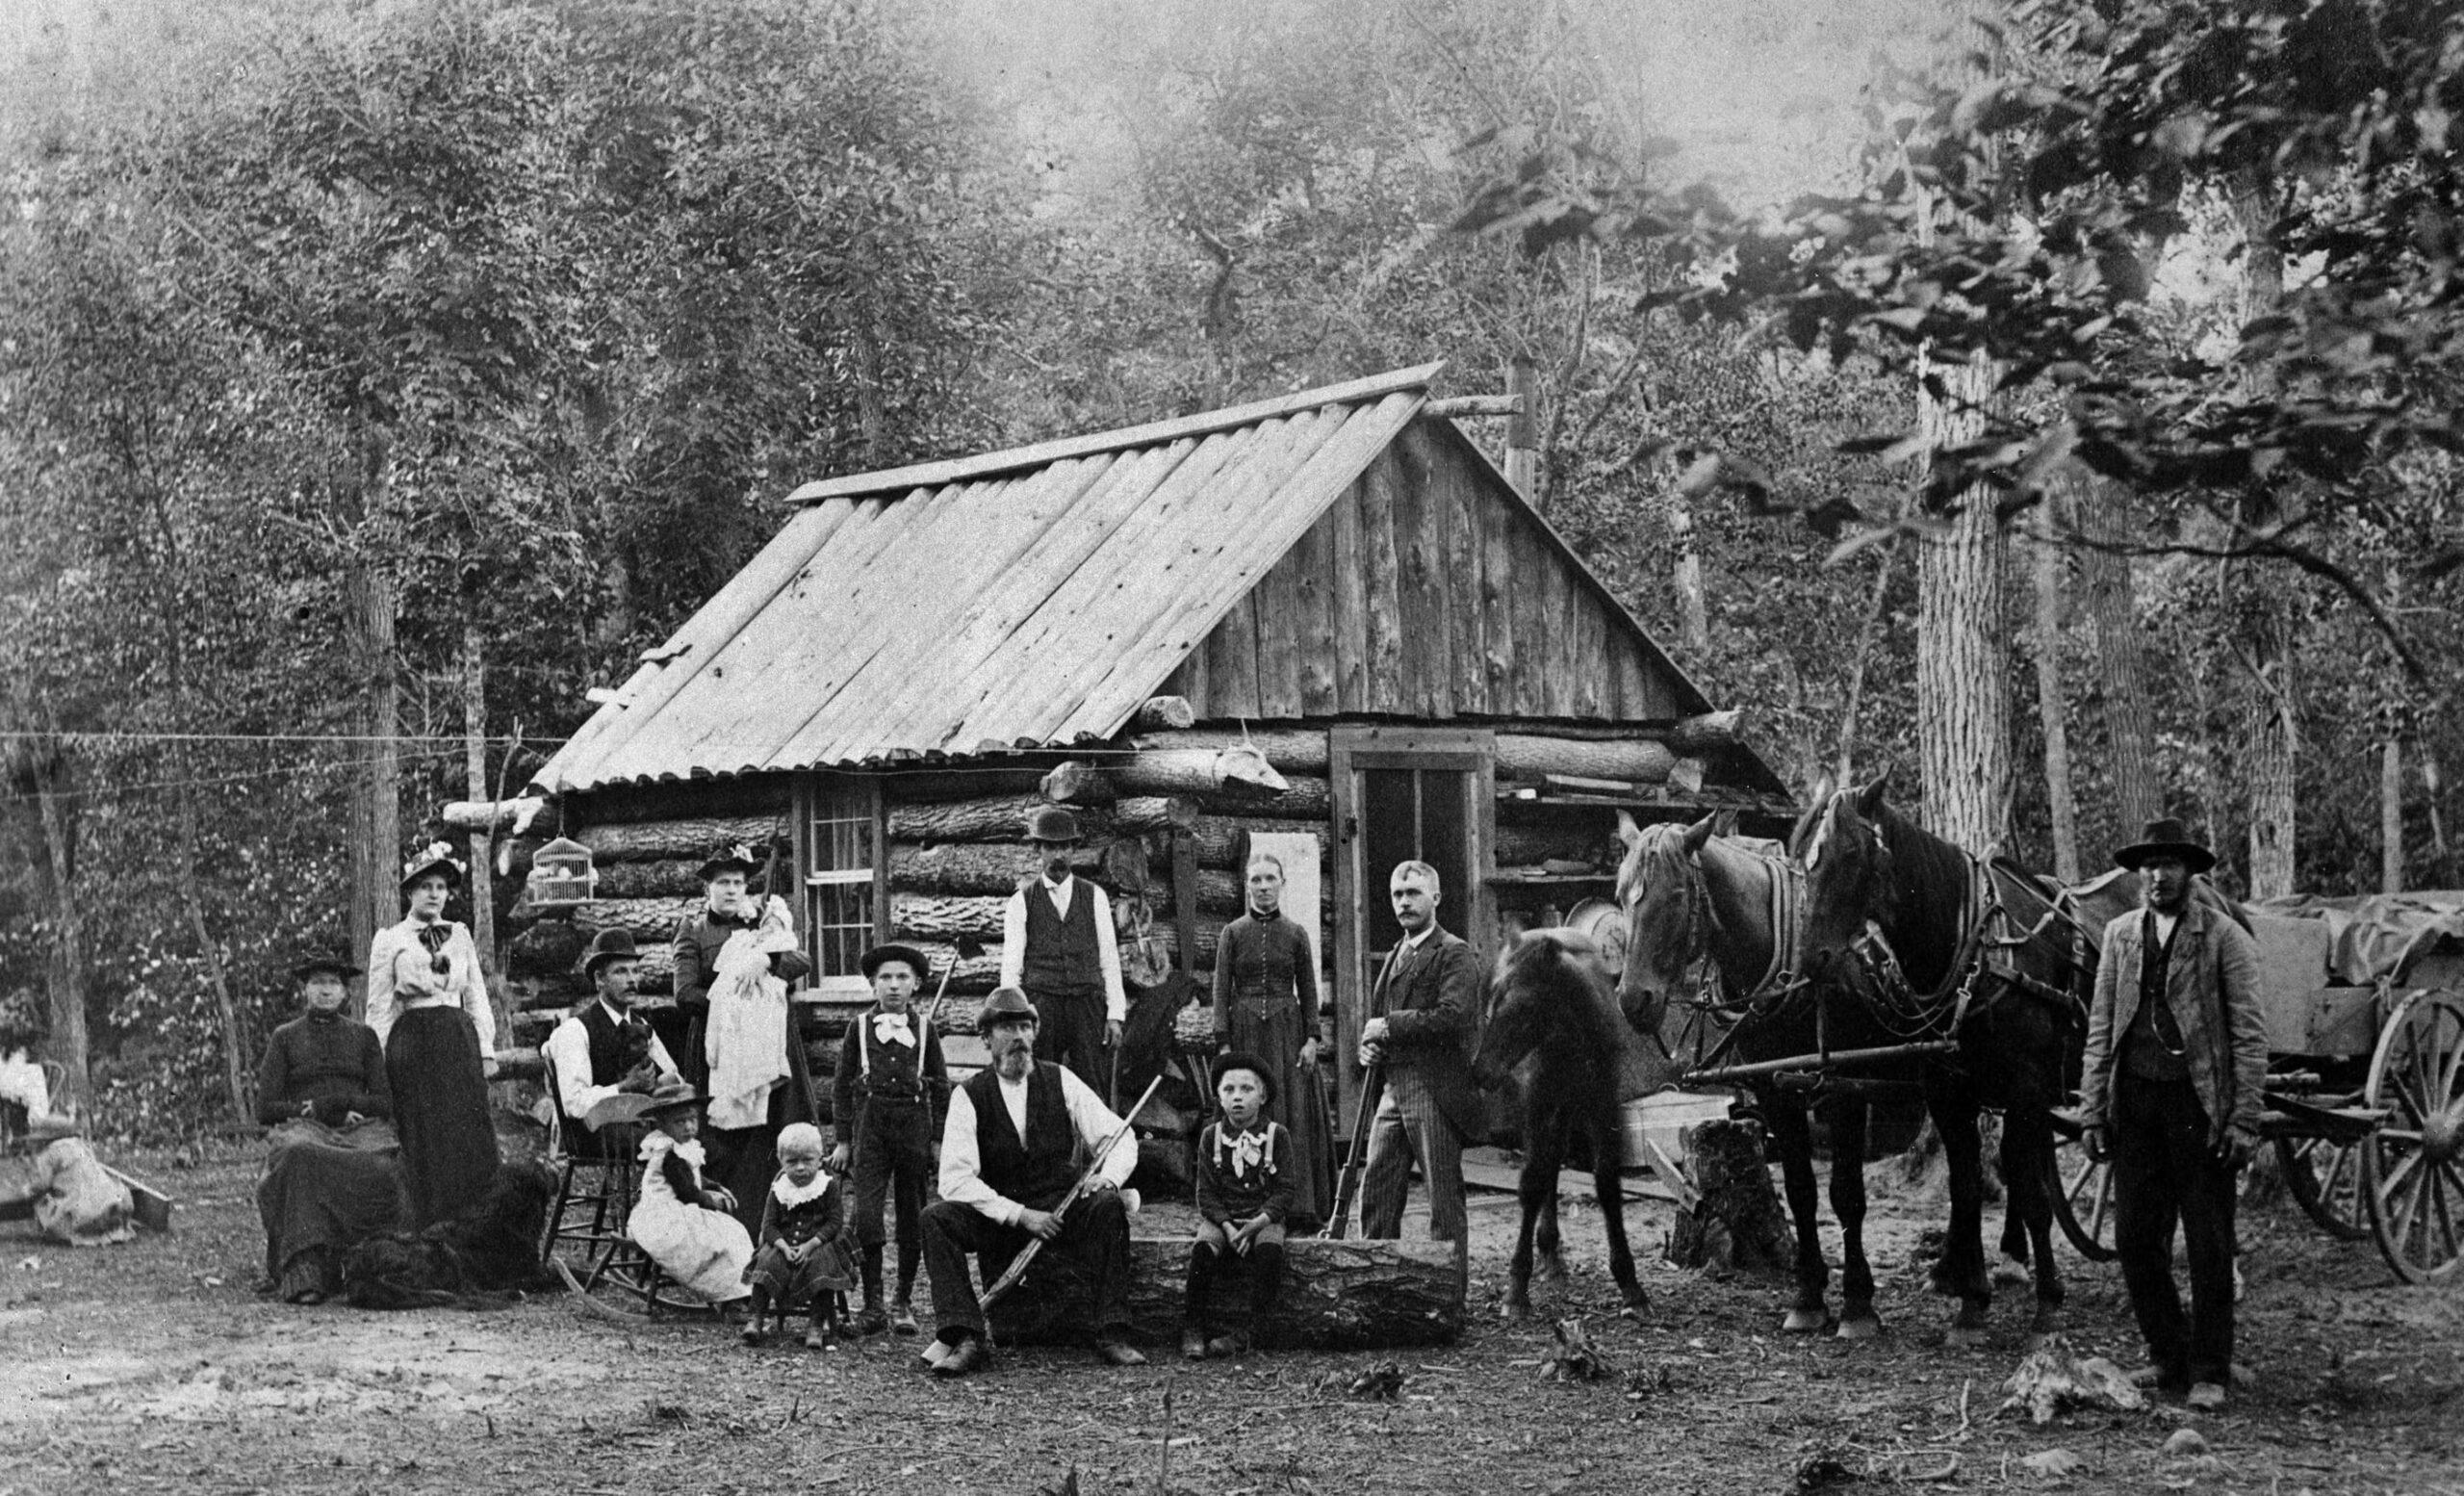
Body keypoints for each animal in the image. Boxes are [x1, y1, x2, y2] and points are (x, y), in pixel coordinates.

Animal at [1468, 936, 1665, 1321]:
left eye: (1524, 1006)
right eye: (1491, 1005)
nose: (1481, 1072)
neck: (1574, 1039)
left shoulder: (1602, 1103)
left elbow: (1607, 1183)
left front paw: (1631, 1285)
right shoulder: (1537, 1099)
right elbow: (1531, 1182)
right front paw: (1516, 1289)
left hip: (1567, 1107)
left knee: (1555, 1158)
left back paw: (1552, 1253)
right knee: (1546, 1165)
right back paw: (1548, 1254)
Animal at [1606, 812, 1912, 1340]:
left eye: (1676, 896)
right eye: (1622, 895)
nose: (1633, 1000)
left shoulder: (1845, 1089)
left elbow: (1847, 1195)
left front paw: (1857, 1303)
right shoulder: (1775, 1091)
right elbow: (1801, 1191)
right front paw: (1808, 1297)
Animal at [1793, 779, 2099, 1350]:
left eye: (1852, 853)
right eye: (1801, 858)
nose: (1811, 959)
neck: (1978, 950)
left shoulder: (2027, 1087)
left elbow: (2028, 1187)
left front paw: (2047, 1305)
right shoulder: (1949, 1090)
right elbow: (1967, 1186)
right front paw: (1972, 1306)